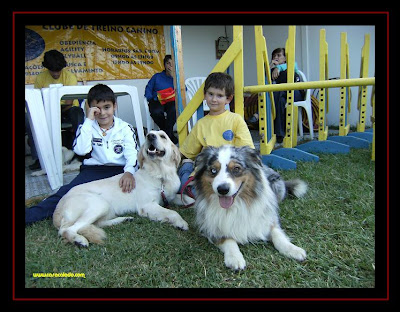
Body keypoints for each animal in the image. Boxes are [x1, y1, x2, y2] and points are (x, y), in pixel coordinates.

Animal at [53, 130, 194, 247]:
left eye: (163, 136)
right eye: (148, 135)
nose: (150, 136)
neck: (160, 175)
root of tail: (59, 206)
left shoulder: (170, 197)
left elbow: (188, 199)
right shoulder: (147, 205)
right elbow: (172, 212)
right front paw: (180, 223)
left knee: (95, 223)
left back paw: (124, 219)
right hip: (99, 204)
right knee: (66, 229)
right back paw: (79, 240)